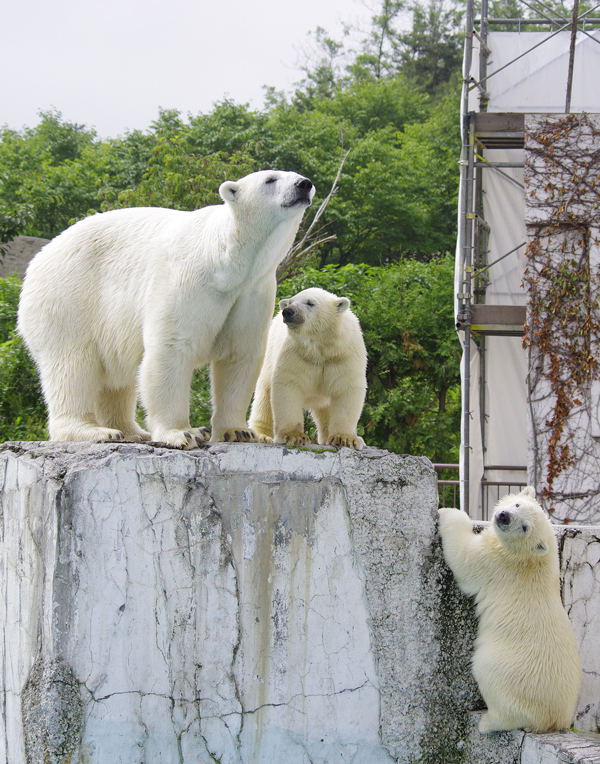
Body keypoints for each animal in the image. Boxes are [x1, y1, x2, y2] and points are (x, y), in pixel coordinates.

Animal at [18, 169, 314, 444]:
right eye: (270, 179)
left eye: (297, 175)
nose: (304, 184)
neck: (228, 262)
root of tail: (36, 261)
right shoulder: (188, 279)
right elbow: (171, 348)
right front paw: (184, 433)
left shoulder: (253, 291)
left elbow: (238, 354)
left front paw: (238, 431)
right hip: (68, 300)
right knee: (72, 366)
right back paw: (95, 431)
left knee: (116, 378)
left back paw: (132, 432)